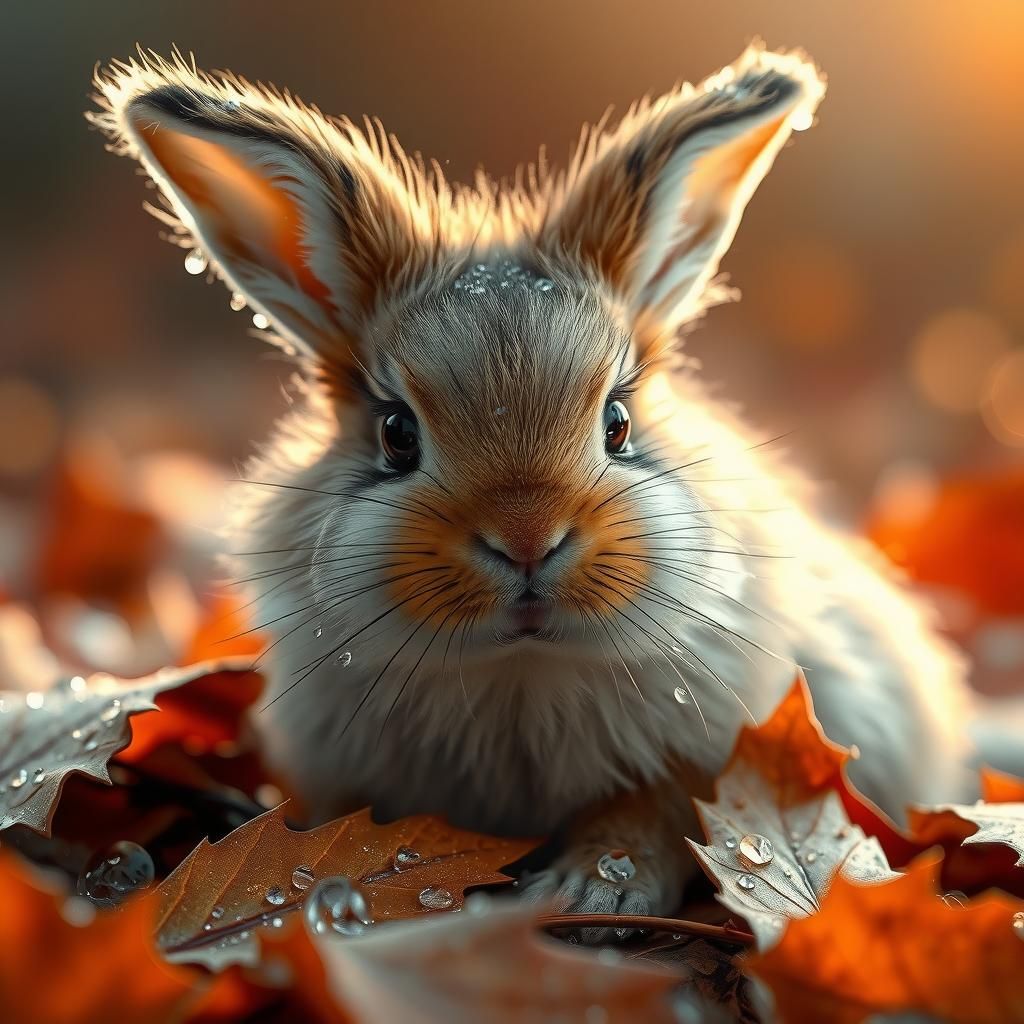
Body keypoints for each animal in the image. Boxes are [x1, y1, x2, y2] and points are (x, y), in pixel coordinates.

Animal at [89, 43, 993, 929]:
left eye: (619, 422)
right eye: (396, 434)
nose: (526, 538)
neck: (519, 670)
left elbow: (652, 819)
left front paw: (595, 891)